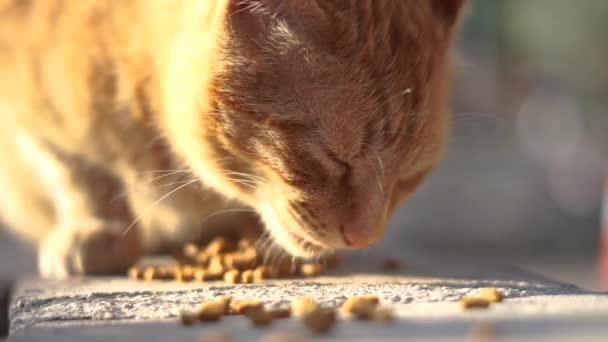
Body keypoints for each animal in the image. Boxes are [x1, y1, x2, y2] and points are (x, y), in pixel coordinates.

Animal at [0, 0, 466, 278]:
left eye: (409, 178)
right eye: (336, 158)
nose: (364, 237)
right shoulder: (27, 101)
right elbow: (78, 173)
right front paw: (94, 228)